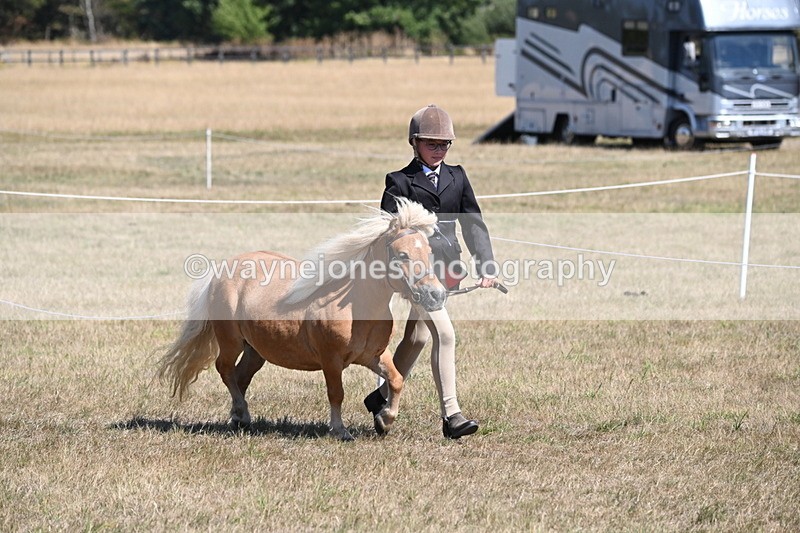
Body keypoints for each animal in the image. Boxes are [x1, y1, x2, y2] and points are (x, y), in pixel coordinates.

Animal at [157, 198, 446, 440]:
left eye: (429, 251)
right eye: (402, 254)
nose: (436, 294)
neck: (356, 308)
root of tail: (222, 271)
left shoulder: (373, 356)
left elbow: (396, 379)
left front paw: (385, 420)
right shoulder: (331, 360)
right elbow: (336, 393)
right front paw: (340, 431)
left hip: (256, 351)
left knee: (240, 377)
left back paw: (239, 417)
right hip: (231, 341)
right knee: (225, 369)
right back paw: (243, 414)